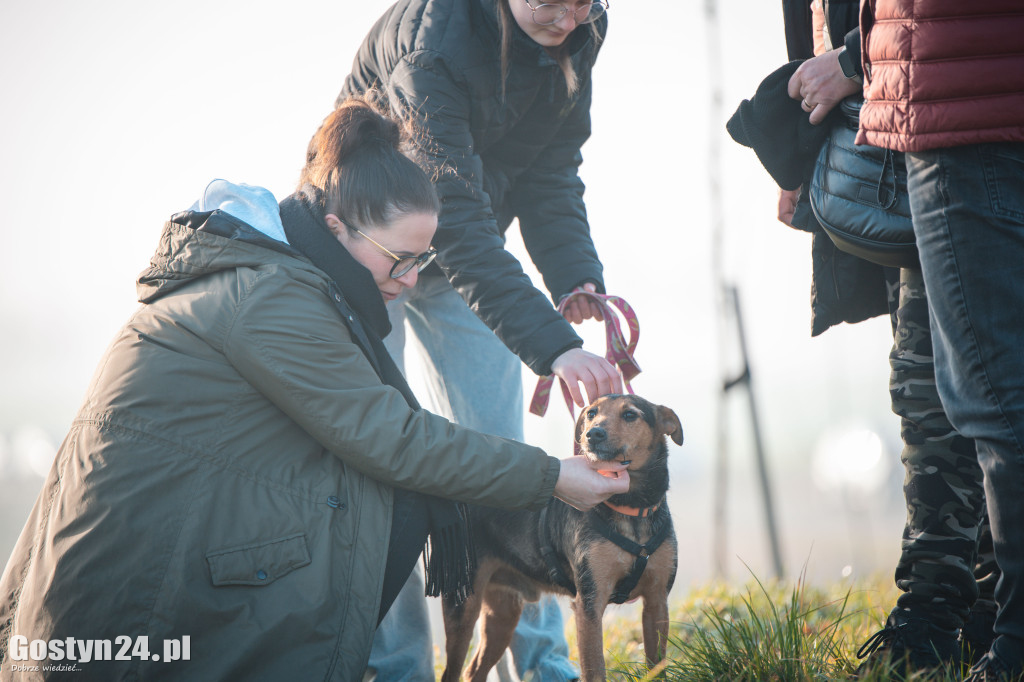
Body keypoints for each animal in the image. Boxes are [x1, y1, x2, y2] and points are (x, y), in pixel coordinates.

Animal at [438, 393, 679, 679]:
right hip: (462, 606)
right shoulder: (589, 605)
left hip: (502, 613)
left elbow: (657, 664)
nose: (592, 434)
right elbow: (595, 670)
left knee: (473, 670)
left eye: (630, 415)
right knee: (452, 671)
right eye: (591, 413)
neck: (631, 510)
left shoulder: (657, 601)